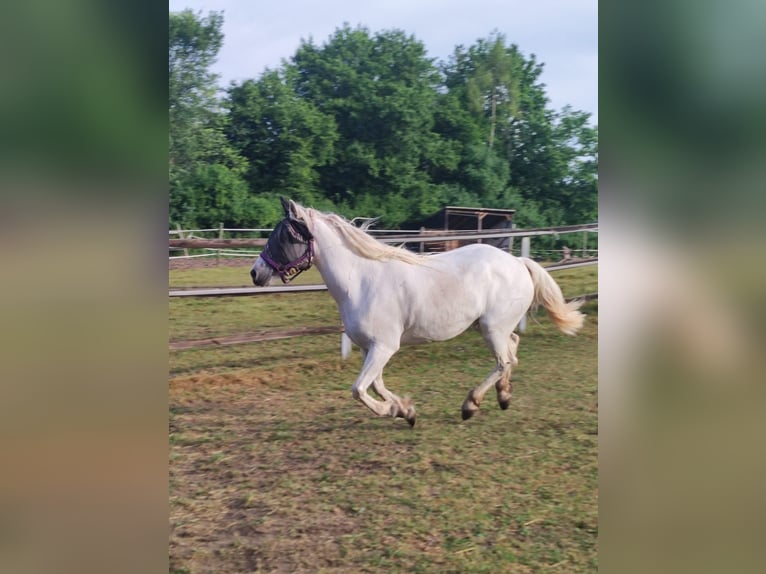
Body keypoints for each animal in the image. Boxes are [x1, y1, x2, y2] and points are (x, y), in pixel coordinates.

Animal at [250, 199, 584, 428]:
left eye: (285, 236)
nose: (256, 273)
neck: (360, 281)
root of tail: (518, 263)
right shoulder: (371, 348)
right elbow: (376, 385)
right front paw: (405, 411)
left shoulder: (385, 347)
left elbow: (359, 389)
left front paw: (394, 411)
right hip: (489, 327)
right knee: (512, 350)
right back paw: (504, 397)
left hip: (492, 328)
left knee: (504, 361)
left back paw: (470, 405)